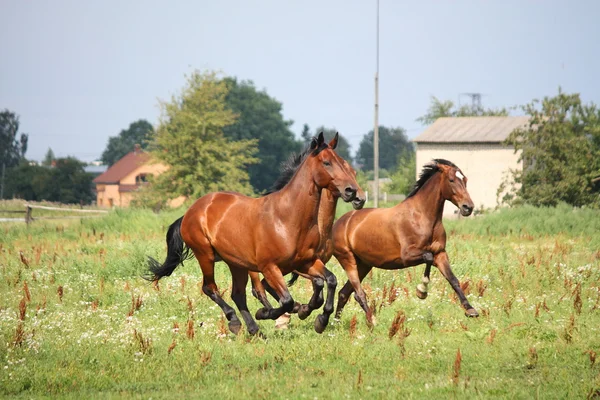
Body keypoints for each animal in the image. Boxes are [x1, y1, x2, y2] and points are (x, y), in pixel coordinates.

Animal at [148, 134, 368, 334]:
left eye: (344, 163)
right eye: (327, 162)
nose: (353, 192)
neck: (287, 218)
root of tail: (191, 211)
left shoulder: (306, 262)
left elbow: (329, 281)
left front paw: (319, 320)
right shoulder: (270, 267)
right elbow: (287, 300)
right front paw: (268, 313)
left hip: (236, 263)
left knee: (238, 294)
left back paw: (254, 330)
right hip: (206, 255)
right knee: (210, 288)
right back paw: (236, 322)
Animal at [332, 158, 478, 326]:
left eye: (465, 180)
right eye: (451, 180)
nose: (468, 207)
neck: (422, 217)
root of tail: (339, 223)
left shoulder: (440, 254)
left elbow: (453, 279)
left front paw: (470, 310)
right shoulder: (407, 256)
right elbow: (428, 257)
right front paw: (422, 291)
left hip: (363, 264)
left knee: (344, 293)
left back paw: (334, 323)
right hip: (348, 260)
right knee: (358, 293)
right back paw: (372, 320)